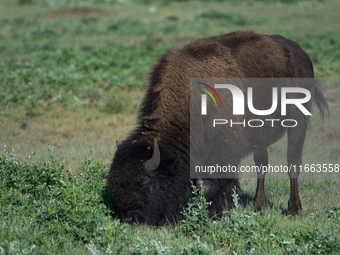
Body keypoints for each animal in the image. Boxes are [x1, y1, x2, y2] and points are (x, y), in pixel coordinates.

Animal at [107, 31, 328, 225]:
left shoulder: (226, 150)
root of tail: (301, 54)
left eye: (145, 183)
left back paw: (293, 209)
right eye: (115, 187)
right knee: (262, 164)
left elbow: (218, 182)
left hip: (299, 122)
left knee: (293, 161)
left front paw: (219, 213)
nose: (131, 219)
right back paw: (258, 206)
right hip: (260, 136)